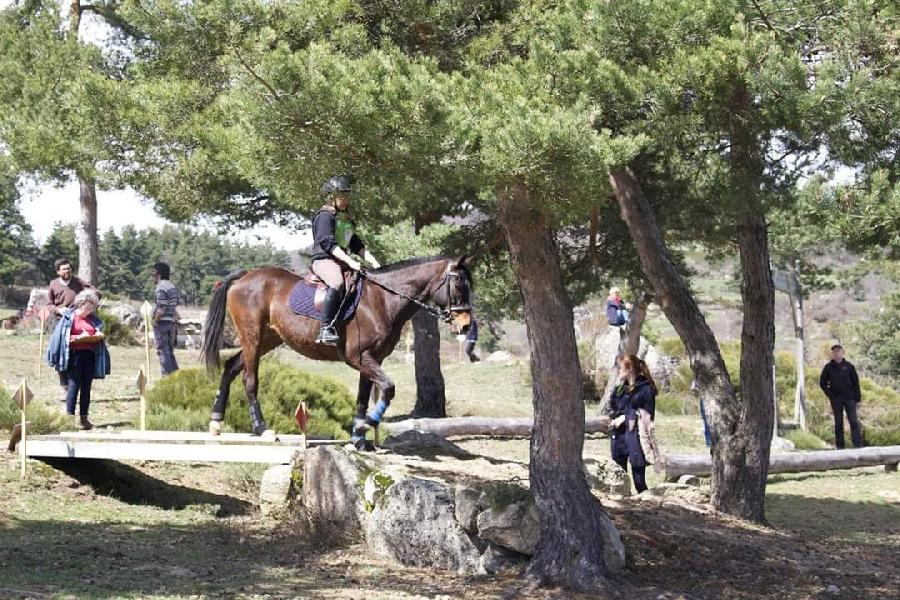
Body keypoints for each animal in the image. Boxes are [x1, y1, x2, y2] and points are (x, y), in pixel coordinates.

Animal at [200, 255, 474, 442]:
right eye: (459, 286)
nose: (466, 325)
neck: (383, 300)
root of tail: (246, 276)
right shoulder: (359, 357)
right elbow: (388, 388)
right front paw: (368, 425)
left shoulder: (372, 360)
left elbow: (363, 397)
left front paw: (359, 438)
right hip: (253, 337)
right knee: (249, 379)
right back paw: (261, 428)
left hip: (268, 339)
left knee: (231, 367)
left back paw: (216, 422)